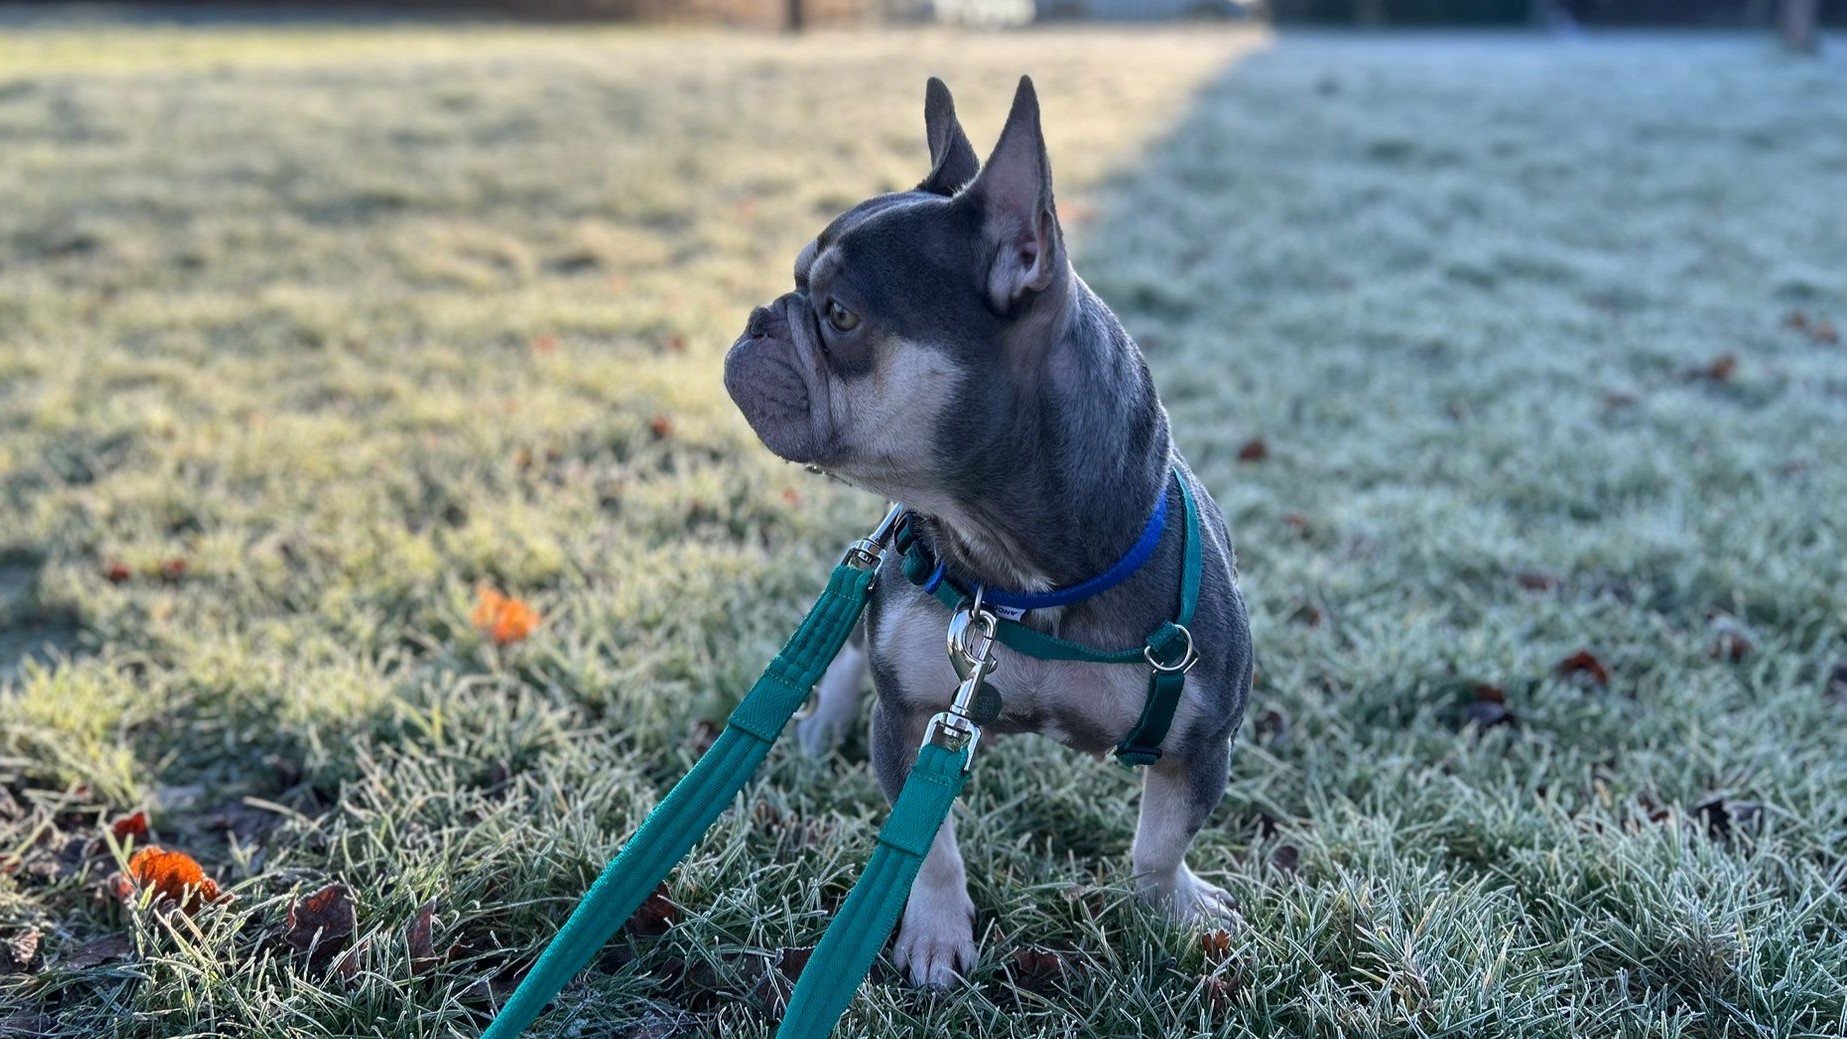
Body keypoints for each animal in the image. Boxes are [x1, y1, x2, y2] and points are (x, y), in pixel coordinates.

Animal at [723, 76, 1254, 988]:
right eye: (796, 287)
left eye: (837, 314)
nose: (759, 316)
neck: (1015, 570)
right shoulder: (909, 720)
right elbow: (928, 846)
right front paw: (935, 933)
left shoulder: (1201, 741)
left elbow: (1159, 842)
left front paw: (1176, 911)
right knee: (844, 658)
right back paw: (819, 728)